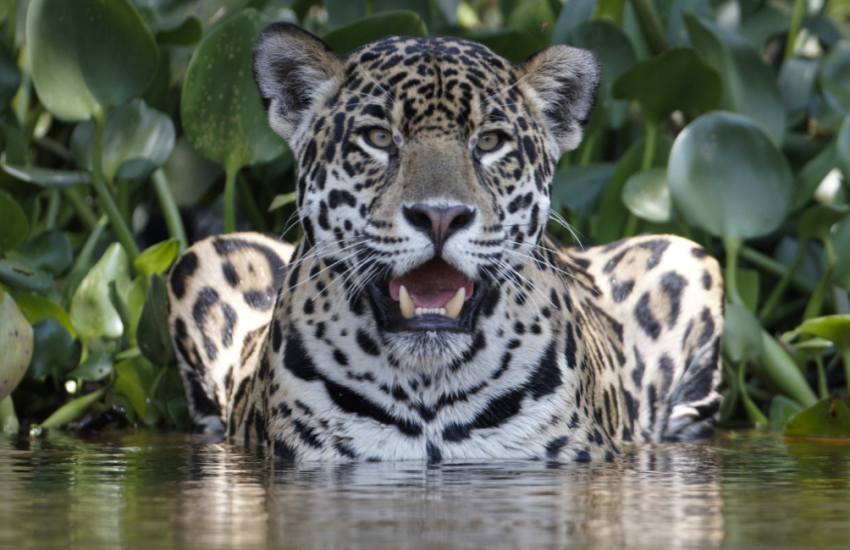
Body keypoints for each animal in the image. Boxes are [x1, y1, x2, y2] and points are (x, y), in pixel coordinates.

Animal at [166, 23, 725, 462]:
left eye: (490, 142)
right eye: (378, 137)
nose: (439, 216)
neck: (427, 387)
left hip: (689, 257)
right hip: (206, 255)